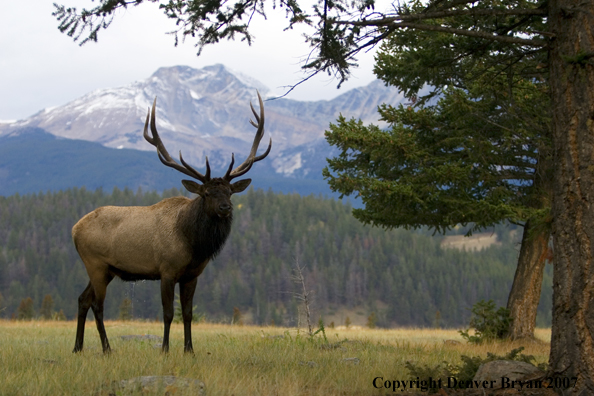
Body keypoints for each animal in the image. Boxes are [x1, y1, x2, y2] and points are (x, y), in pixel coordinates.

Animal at [71, 92, 270, 352]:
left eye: (229, 192)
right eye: (207, 193)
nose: (225, 208)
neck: (193, 244)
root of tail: (74, 229)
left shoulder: (192, 275)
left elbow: (187, 314)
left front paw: (189, 350)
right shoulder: (166, 270)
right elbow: (167, 314)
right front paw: (165, 349)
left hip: (106, 269)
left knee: (82, 299)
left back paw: (77, 347)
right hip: (95, 263)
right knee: (97, 304)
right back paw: (106, 349)